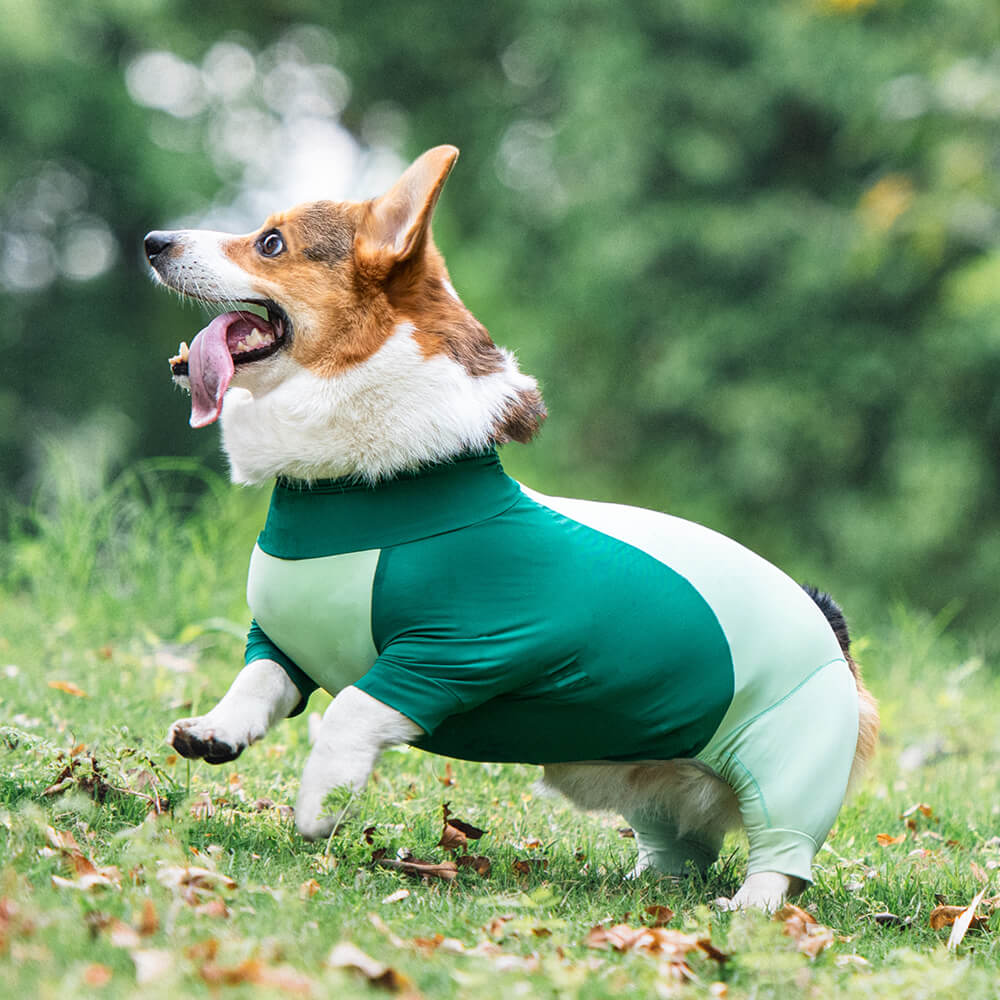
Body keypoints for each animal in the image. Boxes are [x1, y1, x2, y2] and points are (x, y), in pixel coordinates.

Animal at [145, 146, 880, 908]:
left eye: (270, 243)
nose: (152, 242)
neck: (360, 490)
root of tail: (830, 623)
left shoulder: (456, 655)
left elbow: (351, 707)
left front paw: (321, 802)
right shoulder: (281, 642)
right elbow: (257, 681)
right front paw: (215, 732)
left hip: (789, 763)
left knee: (780, 855)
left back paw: (748, 907)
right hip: (658, 784)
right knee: (685, 844)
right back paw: (650, 880)